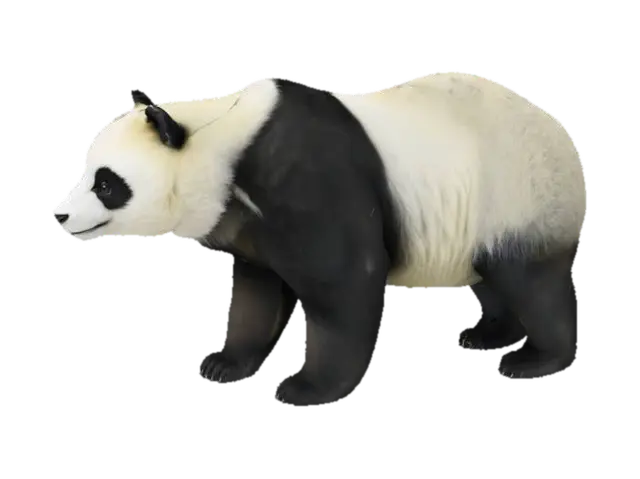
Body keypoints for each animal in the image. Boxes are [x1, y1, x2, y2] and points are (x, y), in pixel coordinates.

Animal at [52, 73, 586, 406]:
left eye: (106, 183)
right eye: (87, 170)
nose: (59, 215)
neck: (223, 142)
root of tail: (561, 134)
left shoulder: (309, 177)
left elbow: (344, 282)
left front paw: (305, 388)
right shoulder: (251, 223)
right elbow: (255, 293)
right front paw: (223, 364)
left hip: (518, 191)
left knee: (528, 281)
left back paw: (535, 359)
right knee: (490, 277)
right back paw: (487, 335)